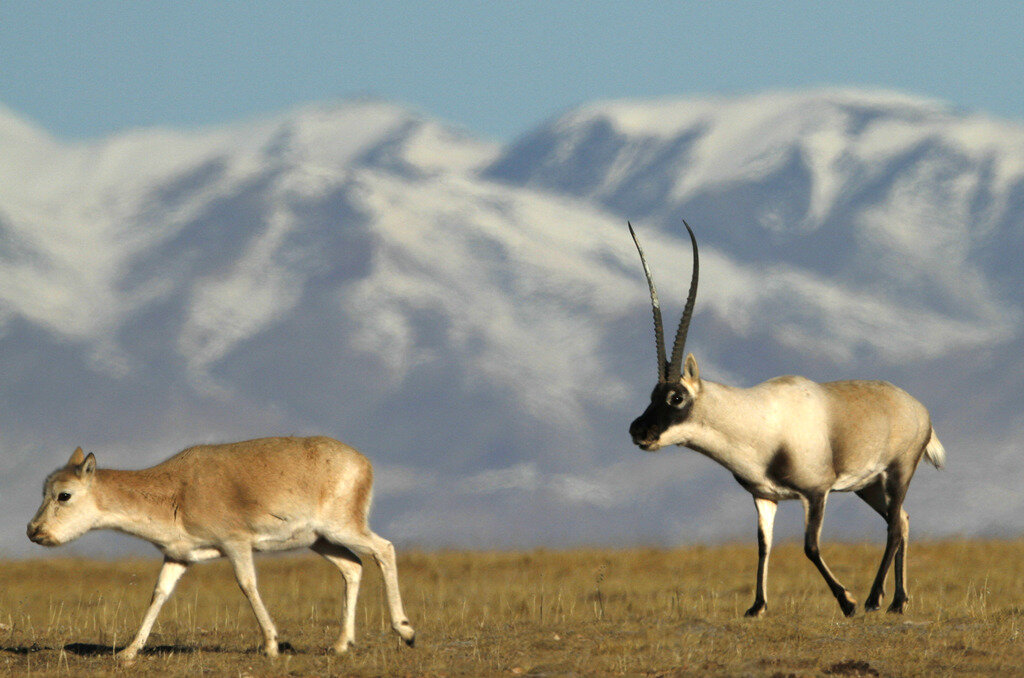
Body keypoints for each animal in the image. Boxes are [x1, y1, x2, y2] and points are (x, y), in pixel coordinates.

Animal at [25, 438, 415, 659]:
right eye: (43, 490)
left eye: (64, 494)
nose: (33, 531)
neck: (177, 490)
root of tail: (363, 462)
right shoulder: (177, 557)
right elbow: (158, 594)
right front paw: (128, 651)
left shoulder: (236, 544)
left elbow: (248, 585)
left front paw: (272, 644)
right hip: (321, 540)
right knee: (353, 566)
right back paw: (341, 645)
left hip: (343, 528)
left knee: (384, 550)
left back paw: (406, 631)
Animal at [626, 223, 946, 622]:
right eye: (653, 393)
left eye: (676, 397)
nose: (639, 431)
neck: (758, 419)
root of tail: (918, 407)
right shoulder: (765, 496)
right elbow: (764, 546)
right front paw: (756, 606)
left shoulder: (816, 492)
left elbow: (810, 547)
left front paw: (847, 601)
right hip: (868, 486)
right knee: (900, 520)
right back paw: (898, 601)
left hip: (898, 472)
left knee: (893, 529)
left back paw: (874, 599)